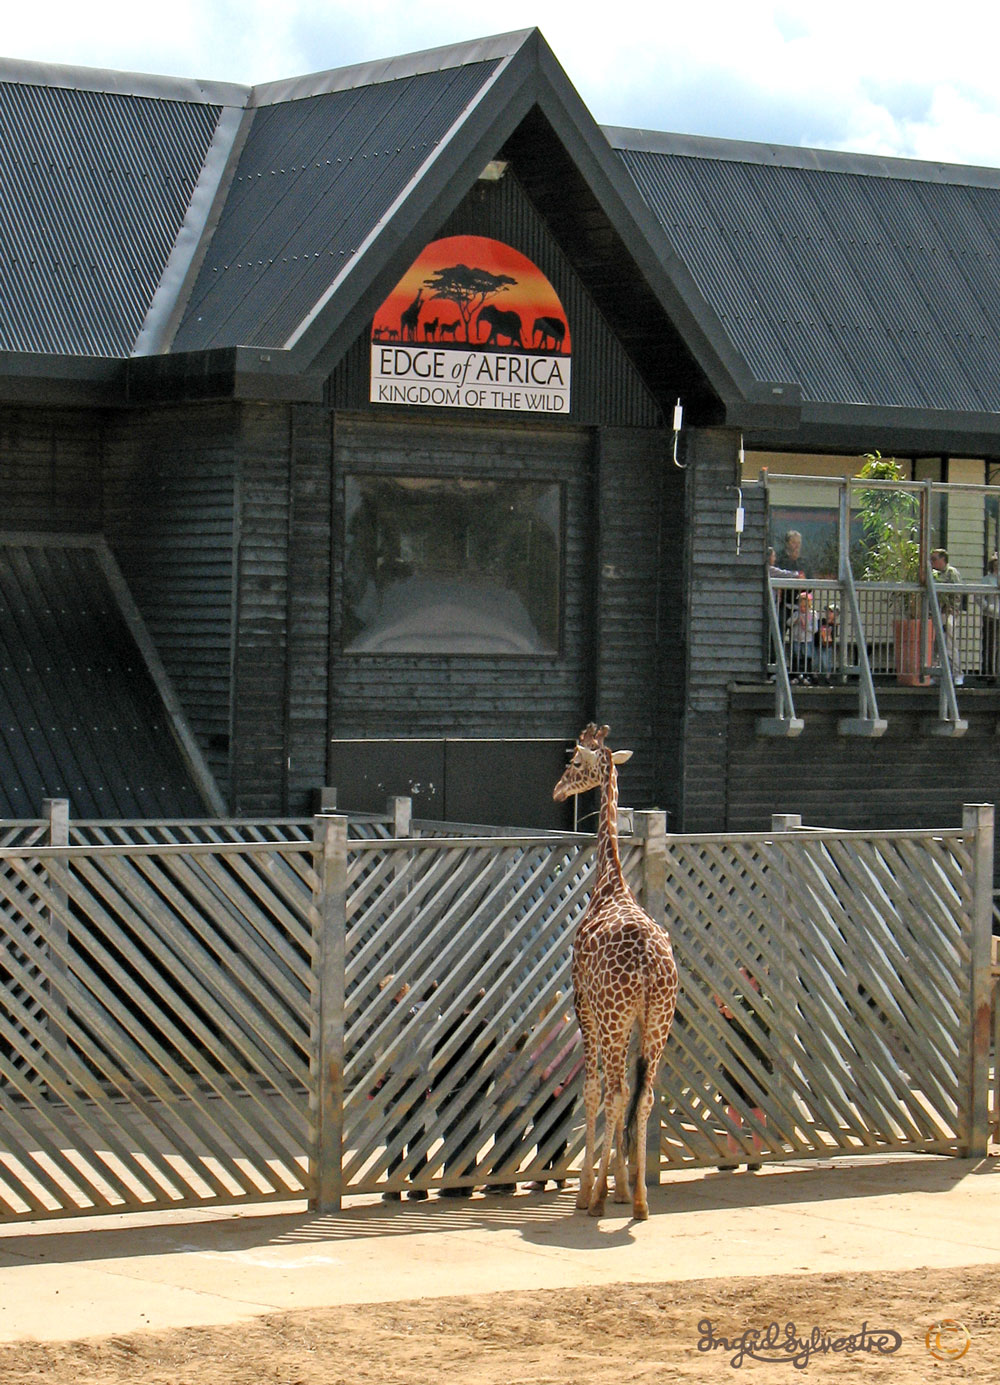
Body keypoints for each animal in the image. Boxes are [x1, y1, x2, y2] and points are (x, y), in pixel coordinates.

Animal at [553, 723, 678, 1219]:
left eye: (574, 762)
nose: (557, 790)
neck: (610, 884)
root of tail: (648, 966)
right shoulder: (634, 1021)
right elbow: (626, 1093)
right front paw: (621, 1185)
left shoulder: (583, 1002)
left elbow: (592, 1091)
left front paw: (591, 1189)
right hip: (659, 1019)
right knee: (643, 1095)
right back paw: (640, 1200)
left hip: (612, 1018)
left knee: (615, 1093)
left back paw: (598, 1200)